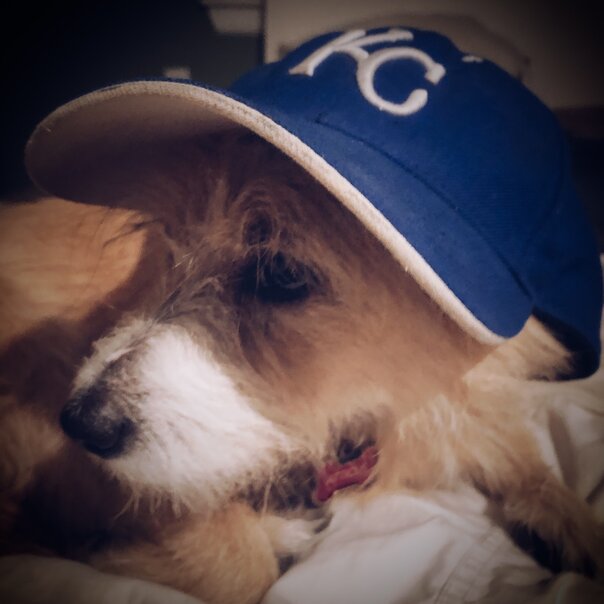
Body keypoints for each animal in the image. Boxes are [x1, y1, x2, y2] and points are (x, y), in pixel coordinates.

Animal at [1, 130, 602, 604]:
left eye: (283, 273)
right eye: (171, 247)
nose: (79, 423)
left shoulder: (460, 410)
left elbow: (519, 453)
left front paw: (575, 523)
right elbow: (243, 570)